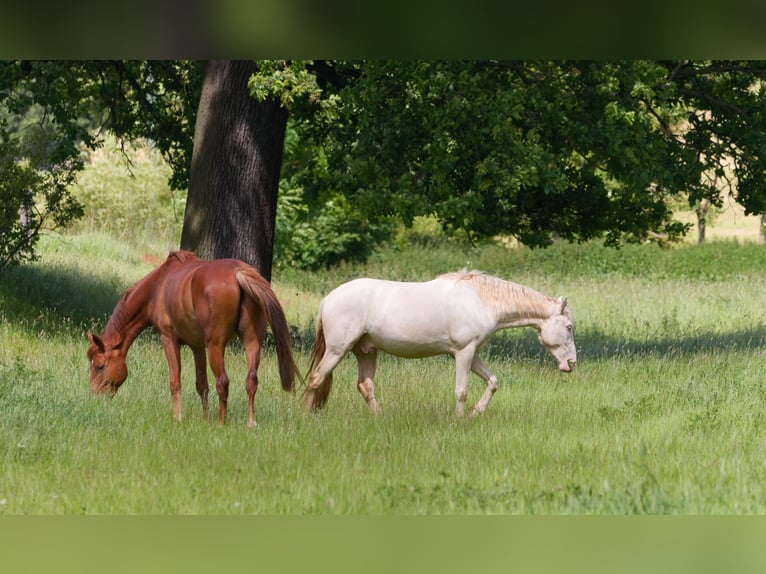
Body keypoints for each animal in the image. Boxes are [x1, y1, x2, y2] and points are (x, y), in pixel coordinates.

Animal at [85, 252, 298, 428]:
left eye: (100, 367)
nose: (94, 398)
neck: (158, 286)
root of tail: (238, 273)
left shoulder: (169, 339)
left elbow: (175, 381)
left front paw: (177, 418)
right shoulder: (197, 346)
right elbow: (202, 385)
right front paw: (205, 417)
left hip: (216, 346)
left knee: (223, 382)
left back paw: (220, 423)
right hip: (252, 343)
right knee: (251, 380)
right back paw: (250, 422)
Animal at [304, 270, 580, 418]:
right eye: (568, 327)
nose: (571, 364)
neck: (481, 301)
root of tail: (328, 299)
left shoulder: (473, 354)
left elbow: (492, 382)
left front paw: (475, 413)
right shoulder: (463, 353)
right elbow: (461, 390)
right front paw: (460, 420)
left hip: (366, 351)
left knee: (365, 387)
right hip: (338, 350)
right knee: (316, 378)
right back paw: (304, 416)